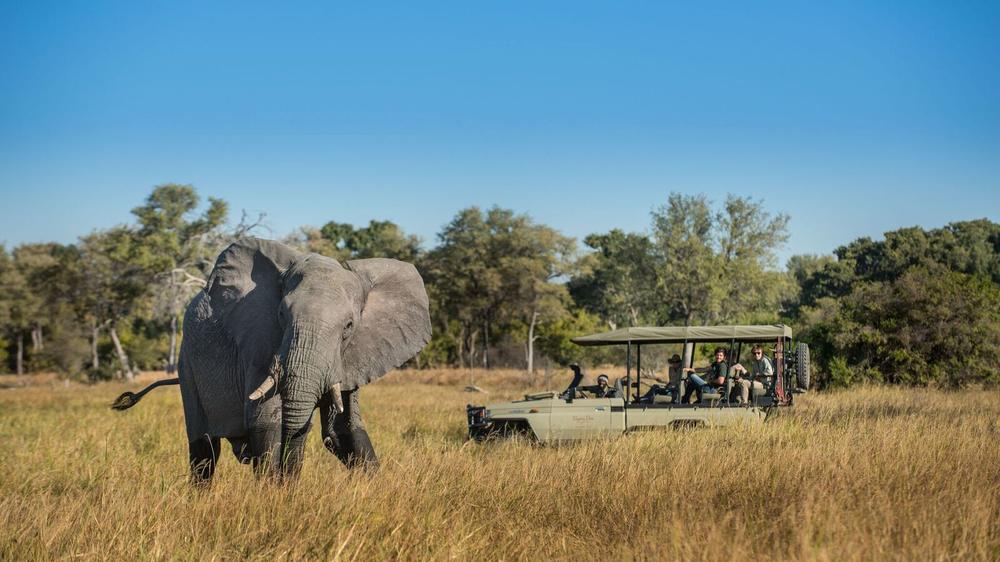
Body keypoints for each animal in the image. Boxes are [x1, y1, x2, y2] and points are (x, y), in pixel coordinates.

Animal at [112, 238, 432, 482]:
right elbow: (266, 421)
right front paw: (274, 495)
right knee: (204, 450)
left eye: (349, 327)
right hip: (187, 361)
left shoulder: (353, 355)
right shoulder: (257, 344)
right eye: (281, 315)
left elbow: (346, 428)